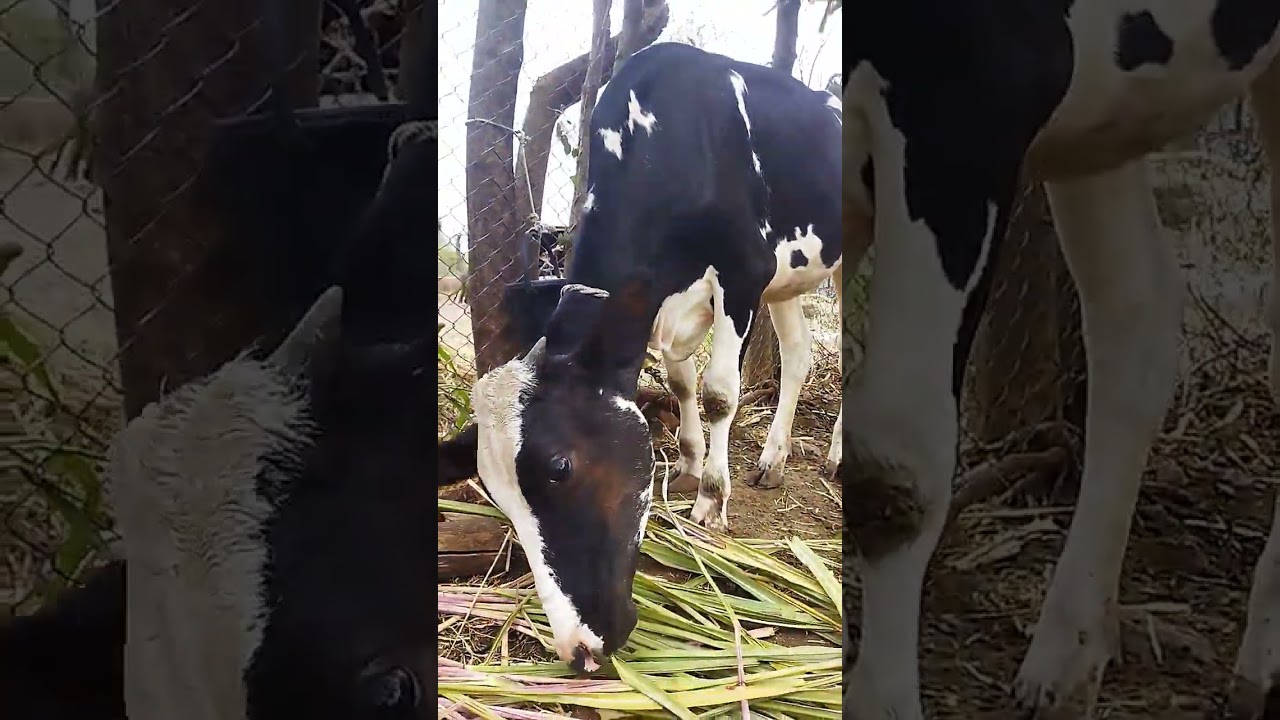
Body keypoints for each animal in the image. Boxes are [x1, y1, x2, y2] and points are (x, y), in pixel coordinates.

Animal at [439, 42, 842, 673]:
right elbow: (680, 385)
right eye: (496, 494)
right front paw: (691, 465)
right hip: (792, 277)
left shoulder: (743, 274)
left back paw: (835, 458)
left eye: (560, 466)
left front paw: (711, 501)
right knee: (799, 354)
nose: (579, 649)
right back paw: (772, 461)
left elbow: (719, 392)